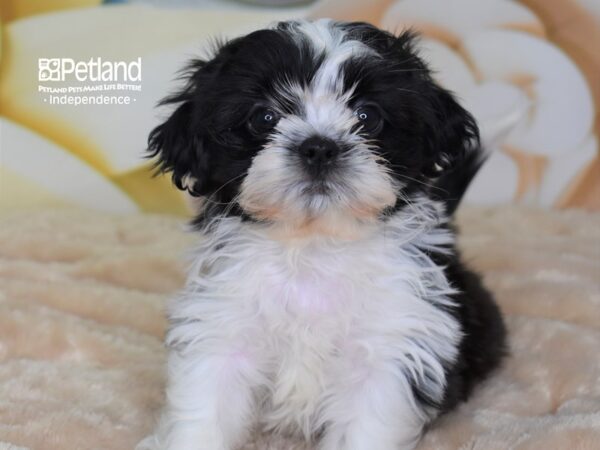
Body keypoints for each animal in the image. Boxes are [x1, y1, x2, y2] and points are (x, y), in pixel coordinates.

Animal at [139, 18, 506, 450]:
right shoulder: (221, 331)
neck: (314, 248)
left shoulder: (391, 347)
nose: (319, 147)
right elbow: (204, 411)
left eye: (367, 116)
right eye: (264, 118)